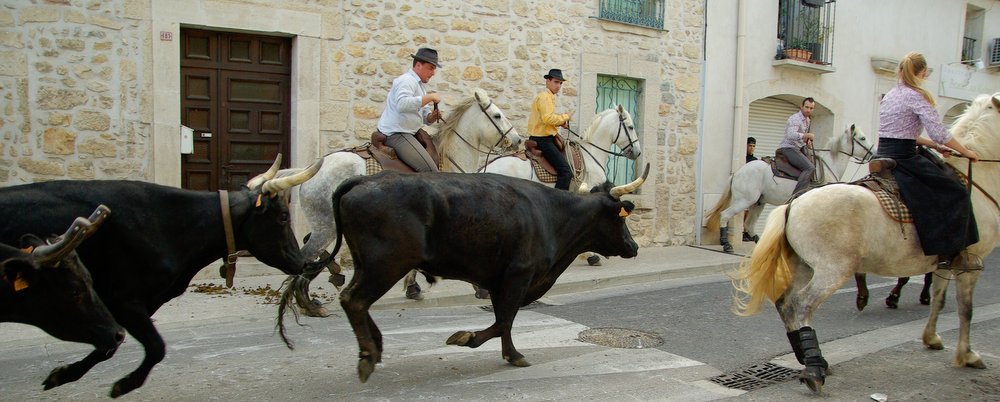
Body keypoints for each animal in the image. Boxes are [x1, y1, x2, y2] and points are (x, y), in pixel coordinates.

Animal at [0, 155, 320, 398]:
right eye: (282, 217)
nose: (302, 261)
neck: (174, 222)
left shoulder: (128, 304)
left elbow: (110, 343)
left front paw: (63, 374)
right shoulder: (123, 299)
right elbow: (154, 347)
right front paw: (124, 384)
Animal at [280, 164, 648, 384]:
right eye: (621, 218)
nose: (634, 247)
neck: (551, 215)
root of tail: (365, 179)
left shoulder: (501, 280)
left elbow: (503, 320)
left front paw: (504, 352)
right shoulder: (518, 275)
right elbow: (504, 320)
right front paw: (478, 342)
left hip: (369, 263)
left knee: (356, 301)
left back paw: (376, 345)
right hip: (386, 263)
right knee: (354, 300)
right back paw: (369, 355)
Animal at [286, 88, 520, 314]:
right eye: (497, 115)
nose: (517, 140)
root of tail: (312, 168)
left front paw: (413, 287)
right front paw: (479, 289)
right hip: (326, 226)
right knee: (306, 254)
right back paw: (308, 303)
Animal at [704, 124, 876, 253]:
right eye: (862, 138)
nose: (874, 154)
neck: (828, 166)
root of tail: (737, 172)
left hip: (758, 203)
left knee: (749, 226)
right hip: (745, 201)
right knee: (725, 215)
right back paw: (727, 244)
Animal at [732, 93, 1000, 392]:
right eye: (859, 137)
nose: (871, 152)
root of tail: (794, 204)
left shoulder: (946, 262)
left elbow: (939, 301)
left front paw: (932, 338)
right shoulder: (971, 262)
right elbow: (966, 310)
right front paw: (967, 354)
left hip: (803, 264)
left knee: (785, 303)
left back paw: (814, 359)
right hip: (830, 269)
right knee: (800, 305)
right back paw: (814, 369)